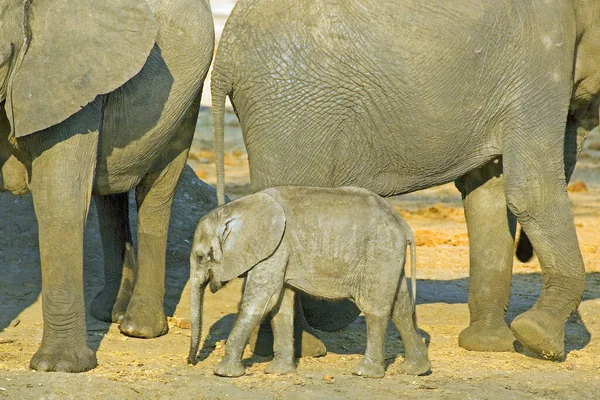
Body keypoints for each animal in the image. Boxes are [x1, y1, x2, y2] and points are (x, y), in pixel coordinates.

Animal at [0, 0, 214, 372]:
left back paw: (138, 327)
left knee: (155, 191)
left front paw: (59, 368)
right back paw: (109, 312)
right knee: (109, 194)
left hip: (187, 96)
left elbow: (60, 202)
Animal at [185, 186, 428, 376]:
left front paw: (223, 373)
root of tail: (403, 224)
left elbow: (260, 302)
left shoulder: (276, 248)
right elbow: (279, 307)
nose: (191, 361)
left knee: (374, 308)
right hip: (389, 254)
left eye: (200, 257)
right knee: (400, 308)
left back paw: (365, 372)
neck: (235, 207)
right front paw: (278, 372)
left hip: (379, 251)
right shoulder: (280, 252)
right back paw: (416, 370)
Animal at [212, 0, 600, 360]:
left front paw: (488, 345)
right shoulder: (541, 62)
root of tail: (225, 54)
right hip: (291, 107)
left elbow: (489, 194)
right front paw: (539, 340)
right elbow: (530, 189)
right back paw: (301, 348)